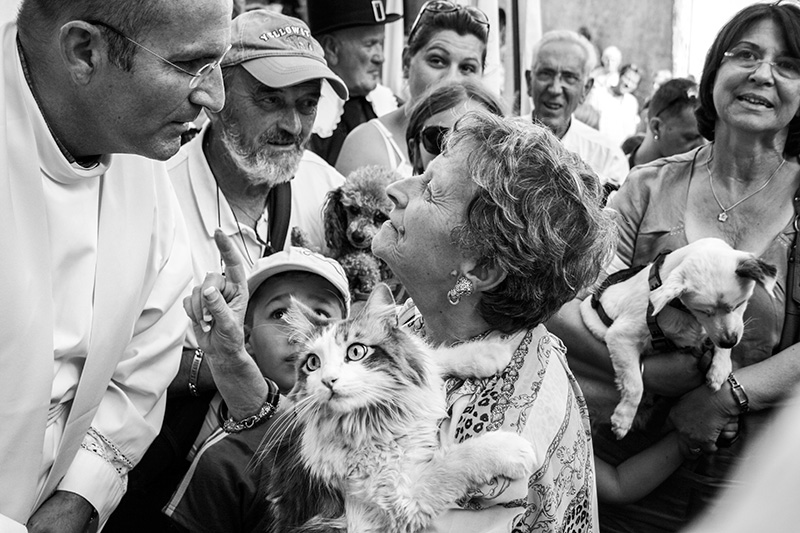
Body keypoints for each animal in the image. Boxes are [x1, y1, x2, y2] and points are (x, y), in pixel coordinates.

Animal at [262, 282, 536, 532]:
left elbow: (433, 356)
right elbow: (454, 461)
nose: (328, 380)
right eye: (313, 363)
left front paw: (488, 353)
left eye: (356, 351)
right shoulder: (399, 499)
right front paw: (510, 448)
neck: (383, 413)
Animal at [580, 239, 776, 438]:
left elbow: (720, 344)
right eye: (703, 311)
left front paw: (720, 368)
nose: (729, 341)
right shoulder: (621, 336)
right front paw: (623, 418)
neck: (681, 310)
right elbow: (635, 384)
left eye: (739, 304)